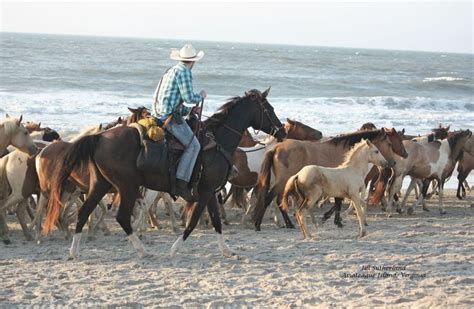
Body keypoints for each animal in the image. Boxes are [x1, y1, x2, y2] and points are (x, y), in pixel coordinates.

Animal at [42, 88, 286, 258]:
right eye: (270, 109)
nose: (282, 132)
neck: (217, 142)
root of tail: (99, 137)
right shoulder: (206, 191)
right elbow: (193, 221)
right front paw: (175, 248)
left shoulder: (209, 191)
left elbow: (216, 222)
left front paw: (227, 250)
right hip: (126, 187)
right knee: (121, 217)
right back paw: (142, 250)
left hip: (101, 184)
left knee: (84, 212)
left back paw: (74, 251)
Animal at [252, 126, 408, 230]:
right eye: (390, 143)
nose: (392, 162)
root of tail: (276, 148)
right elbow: (338, 202)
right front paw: (336, 220)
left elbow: (338, 202)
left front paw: (334, 219)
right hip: (282, 181)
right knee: (269, 198)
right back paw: (258, 224)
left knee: (279, 201)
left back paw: (289, 224)